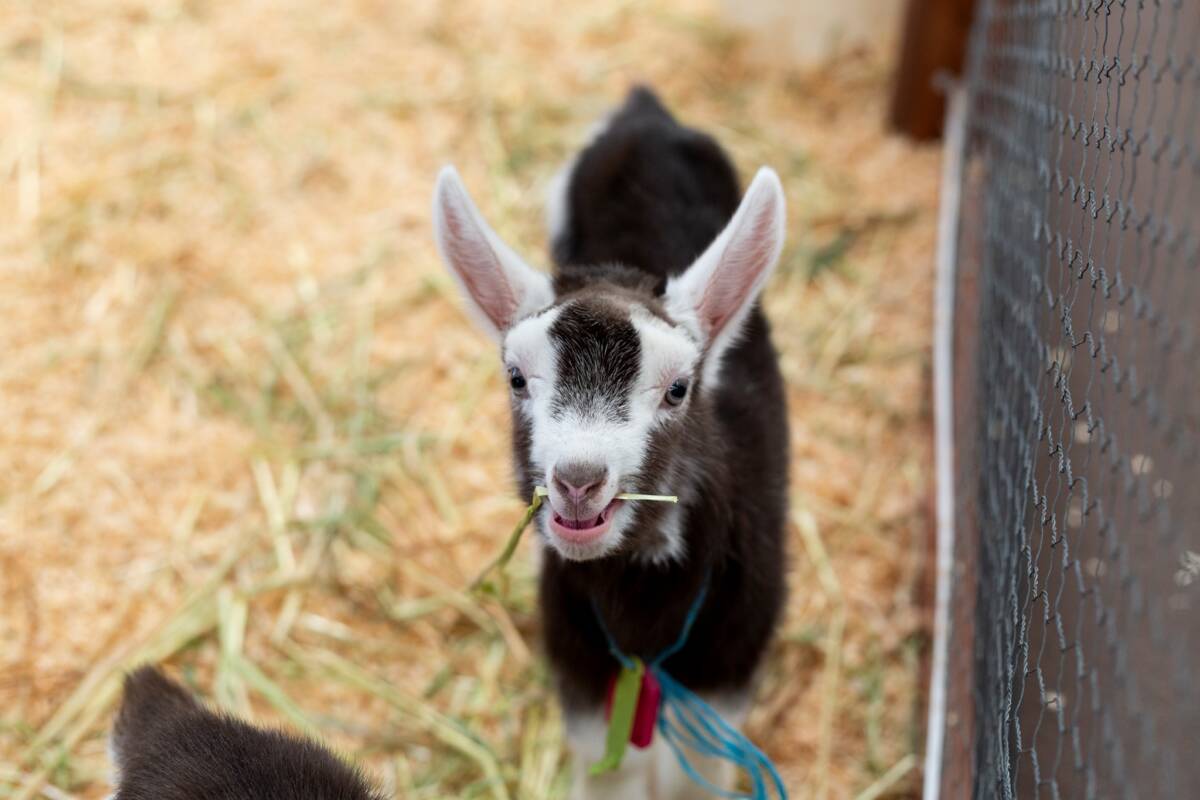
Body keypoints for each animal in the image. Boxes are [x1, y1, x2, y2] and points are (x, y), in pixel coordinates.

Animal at [432, 84, 787, 796]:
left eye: (679, 388)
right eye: (515, 378)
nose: (578, 481)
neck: (644, 627)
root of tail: (644, 111)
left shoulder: (720, 691)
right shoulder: (588, 689)